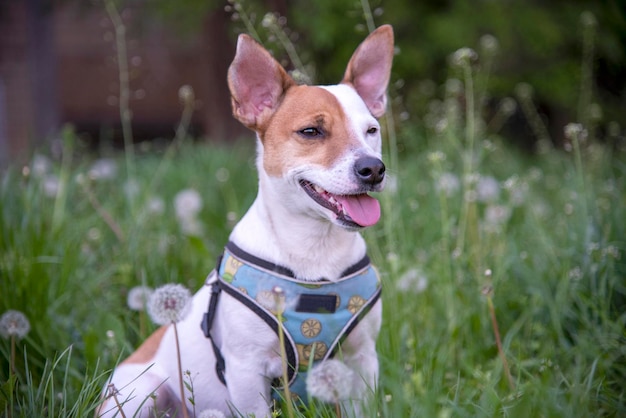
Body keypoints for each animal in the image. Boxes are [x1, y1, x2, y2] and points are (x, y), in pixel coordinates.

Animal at [99, 25, 392, 418]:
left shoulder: (362, 360)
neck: (315, 250)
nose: (373, 169)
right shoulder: (246, 372)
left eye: (371, 130)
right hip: (141, 393)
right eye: (311, 131)